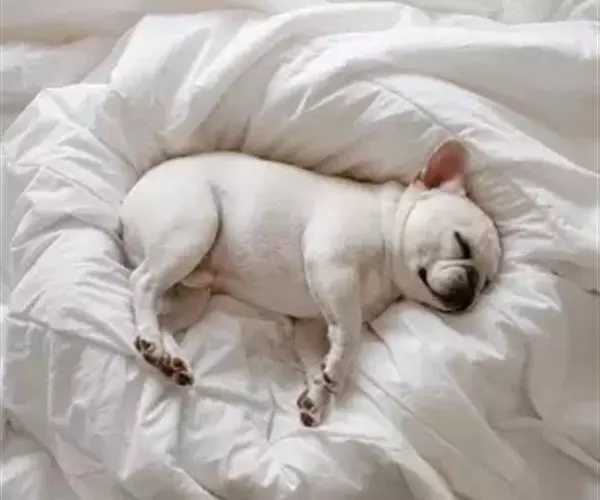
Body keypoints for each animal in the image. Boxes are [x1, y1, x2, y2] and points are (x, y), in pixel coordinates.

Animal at [120, 139, 501, 427]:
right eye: (461, 244)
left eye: (487, 283)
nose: (471, 289)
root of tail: (127, 205)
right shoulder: (333, 267)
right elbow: (351, 333)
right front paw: (337, 375)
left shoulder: (314, 323)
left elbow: (319, 354)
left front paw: (317, 397)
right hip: (192, 230)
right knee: (143, 283)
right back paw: (152, 341)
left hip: (193, 295)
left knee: (163, 314)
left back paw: (167, 356)